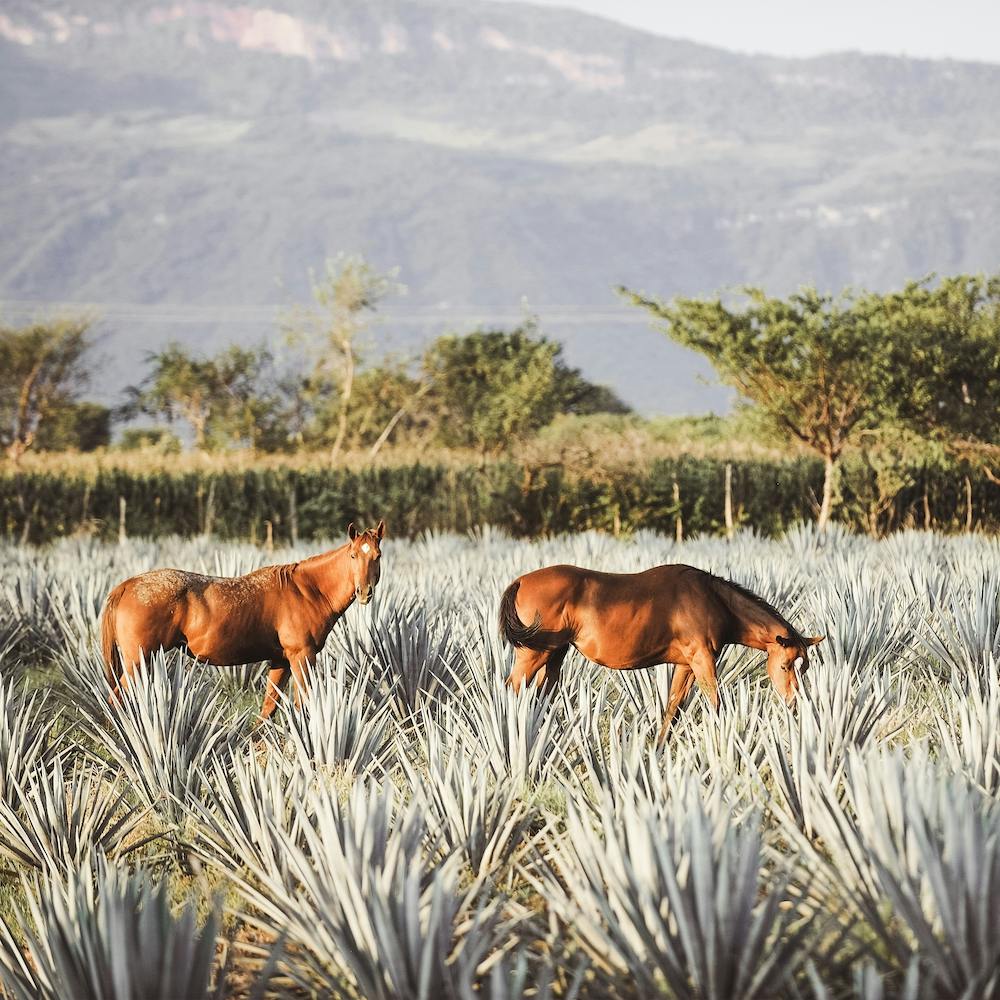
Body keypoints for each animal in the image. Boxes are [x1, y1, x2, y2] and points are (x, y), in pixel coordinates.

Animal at [100, 521, 385, 720]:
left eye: (377, 556)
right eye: (353, 556)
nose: (365, 592)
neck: (308, 589)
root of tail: (126, 585)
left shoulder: (281, 660)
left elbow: (268, 708)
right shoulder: (302, 657)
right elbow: (301, 703)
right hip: (138, 661)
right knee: (117, 699)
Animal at [499, 562, 822, 743]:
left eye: (803, 667)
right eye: (785, 666)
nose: (795, 703)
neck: (712, 599)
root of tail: (521, 581)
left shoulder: (686, 665)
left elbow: (672, 708)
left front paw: (659, 749)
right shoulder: (702, 660)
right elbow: (715, 702)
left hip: (555, 655)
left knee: (541, 694)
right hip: (533, 655)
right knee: (511, 687)